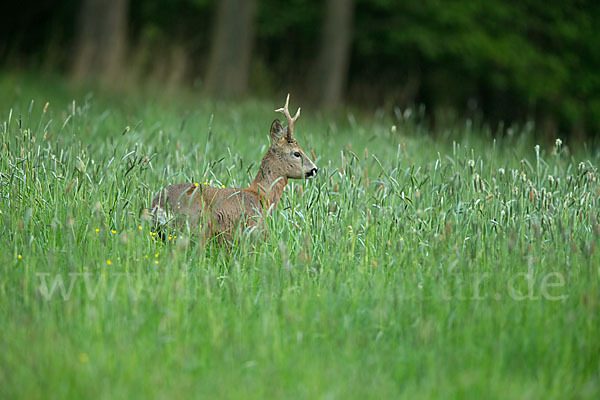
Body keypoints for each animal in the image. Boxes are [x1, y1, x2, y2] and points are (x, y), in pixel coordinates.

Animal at [150, 95, 316, 242]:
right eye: (297, 153)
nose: (315, 169)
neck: (261, 197)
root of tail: (160, 204)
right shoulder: (252, 232)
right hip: (193, 229)